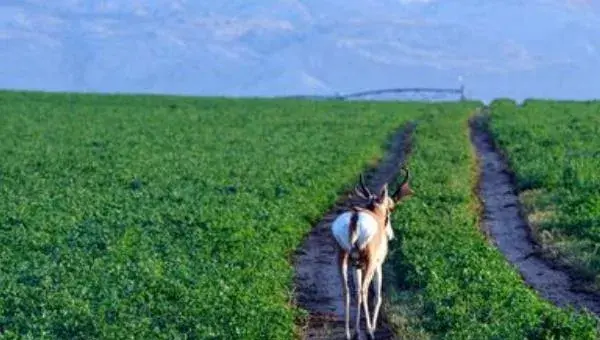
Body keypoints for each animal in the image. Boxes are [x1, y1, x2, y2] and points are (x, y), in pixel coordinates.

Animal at [328, 167, 412, 340]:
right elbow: (377, 297)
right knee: (365, 291)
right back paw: (369, 332)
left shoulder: (356, 266)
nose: (391, 235)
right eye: (390, 210)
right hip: (371, 263)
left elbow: (357, 292)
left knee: (348, 291)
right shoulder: (378, 265)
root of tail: (355, 217)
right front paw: (369, 329)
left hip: (342, 259)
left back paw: (348, 333)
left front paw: (356, 331)